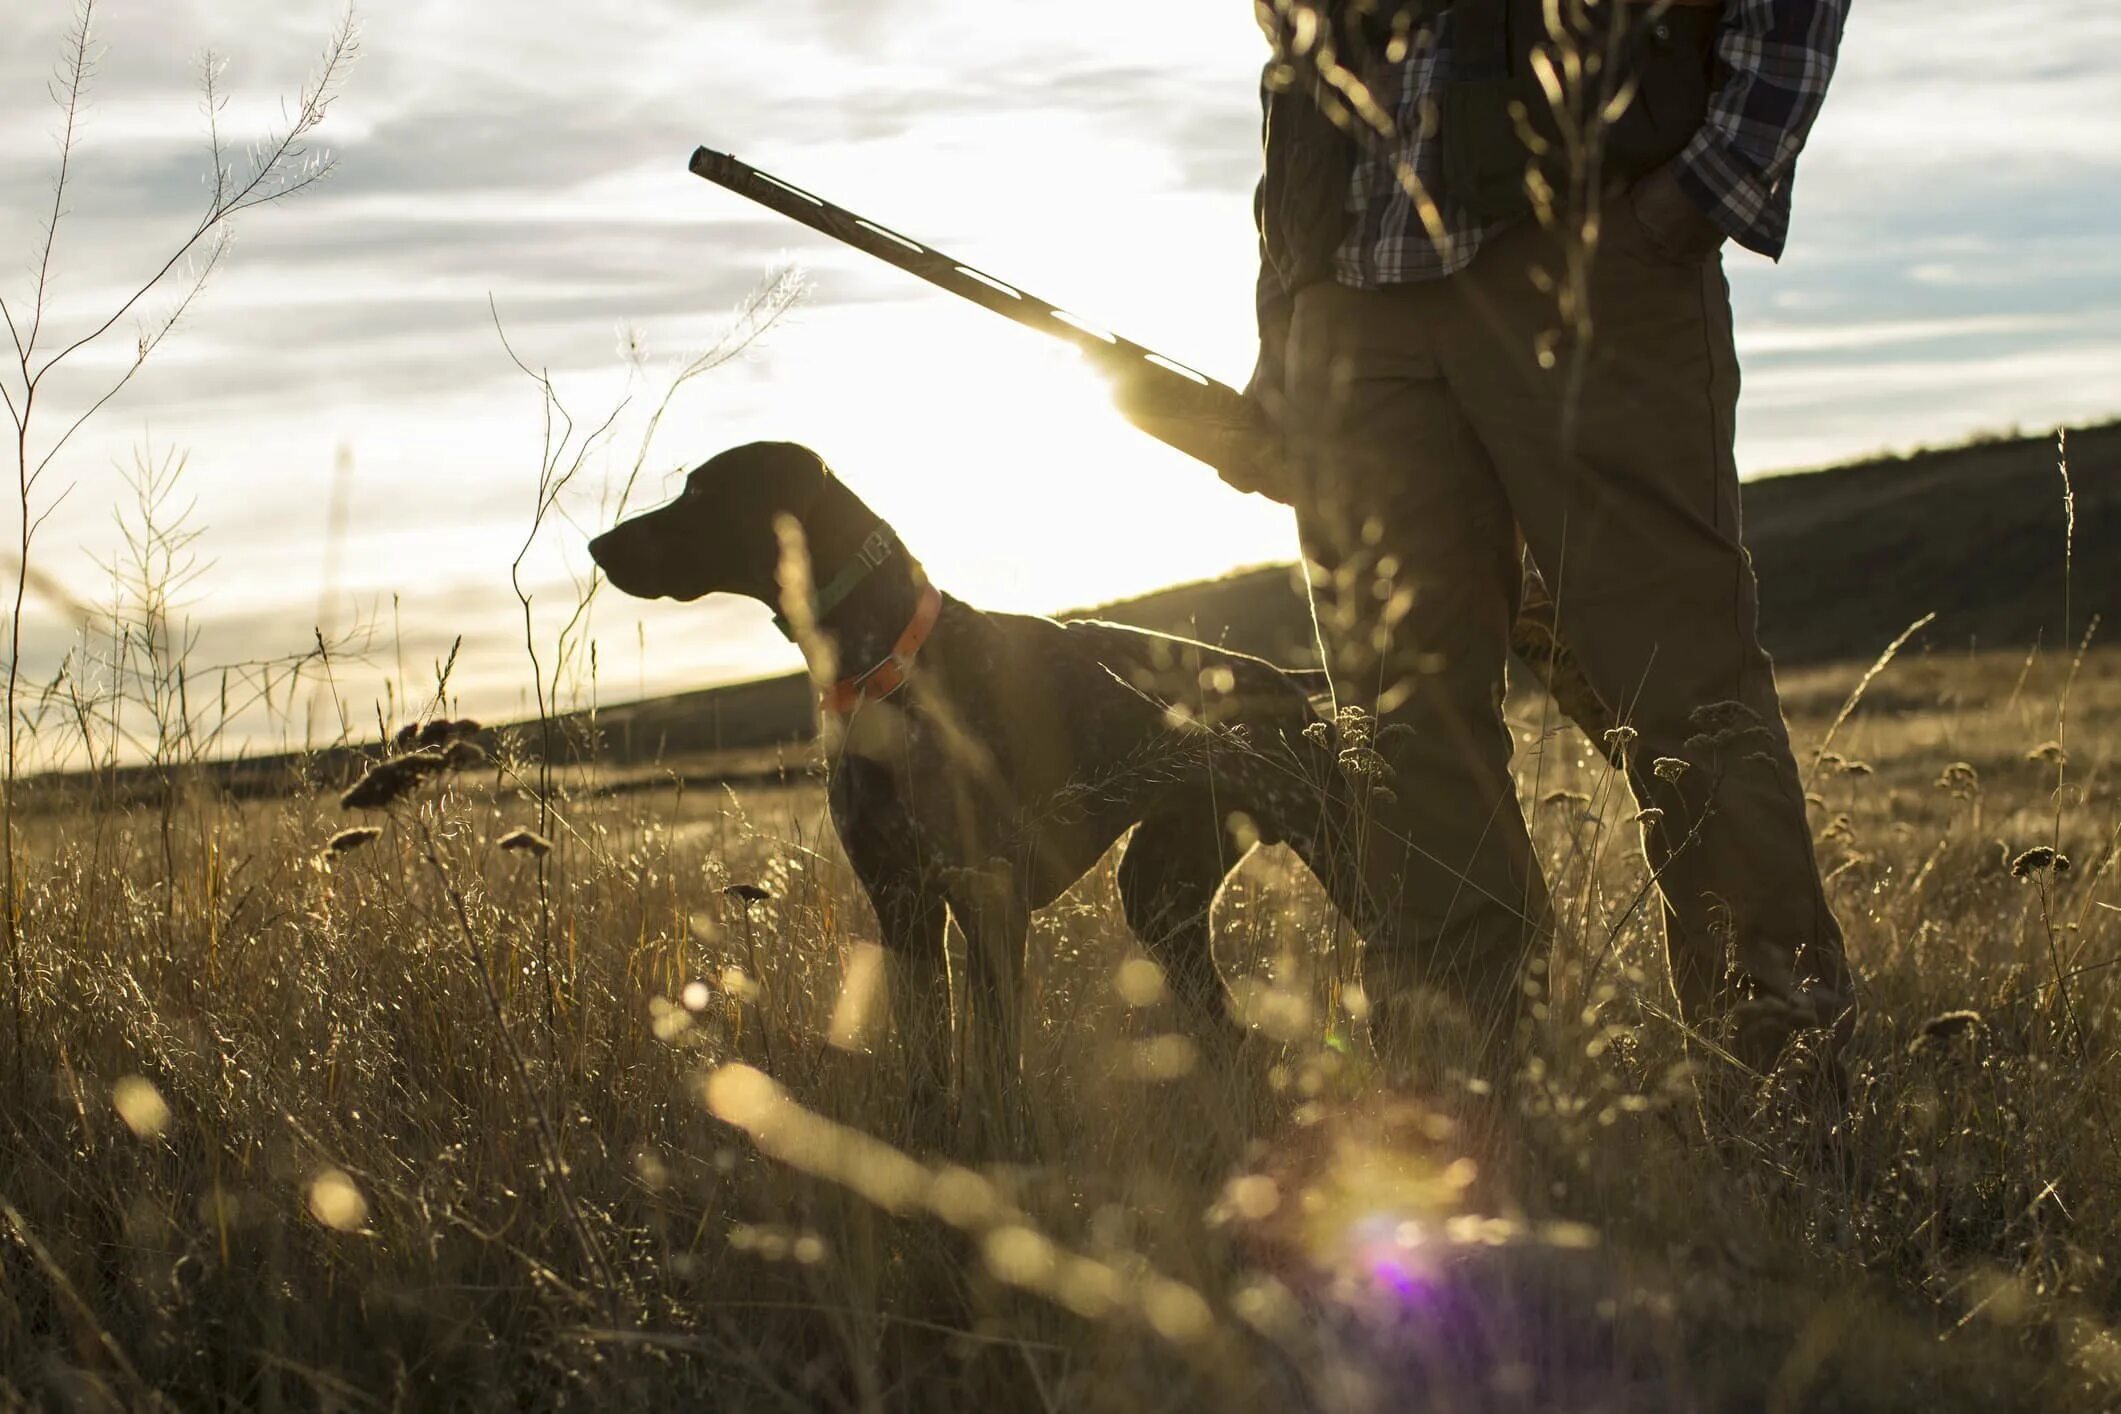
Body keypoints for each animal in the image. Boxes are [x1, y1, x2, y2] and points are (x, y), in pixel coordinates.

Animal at [589, 443, 1382, 1119]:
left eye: (701, 493)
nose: (598, 546)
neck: (885, 665)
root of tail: (1291, 684)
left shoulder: (987, 897)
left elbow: (997, 1062)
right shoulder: (901, 905)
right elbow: (927, 1057)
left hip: (1335, 853)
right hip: (1161, 896)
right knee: (1233, 1034)